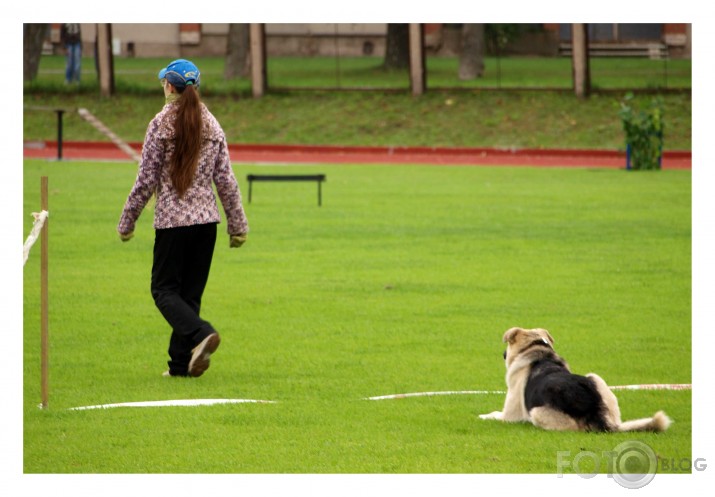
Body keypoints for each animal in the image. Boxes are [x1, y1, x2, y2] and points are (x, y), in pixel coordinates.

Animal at [478, 326, 676, 430]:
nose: (503, 354)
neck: (535, 349)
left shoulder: (510, 415)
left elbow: (495, 414)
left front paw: (483, 415)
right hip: (595, 378)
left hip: (537, 412)